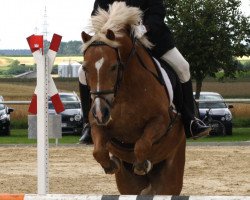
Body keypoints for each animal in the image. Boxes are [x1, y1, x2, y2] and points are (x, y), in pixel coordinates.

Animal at [80, 1, 186, 195]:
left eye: (114, 67)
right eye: (85, 68)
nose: (100, 112)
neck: (124, 92)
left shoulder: (160, 120)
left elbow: (141, 145)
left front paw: (143, 164)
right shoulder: (97, 125)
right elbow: (98, 151)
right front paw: (111, 164)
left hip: (171, 176)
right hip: (128, 184)